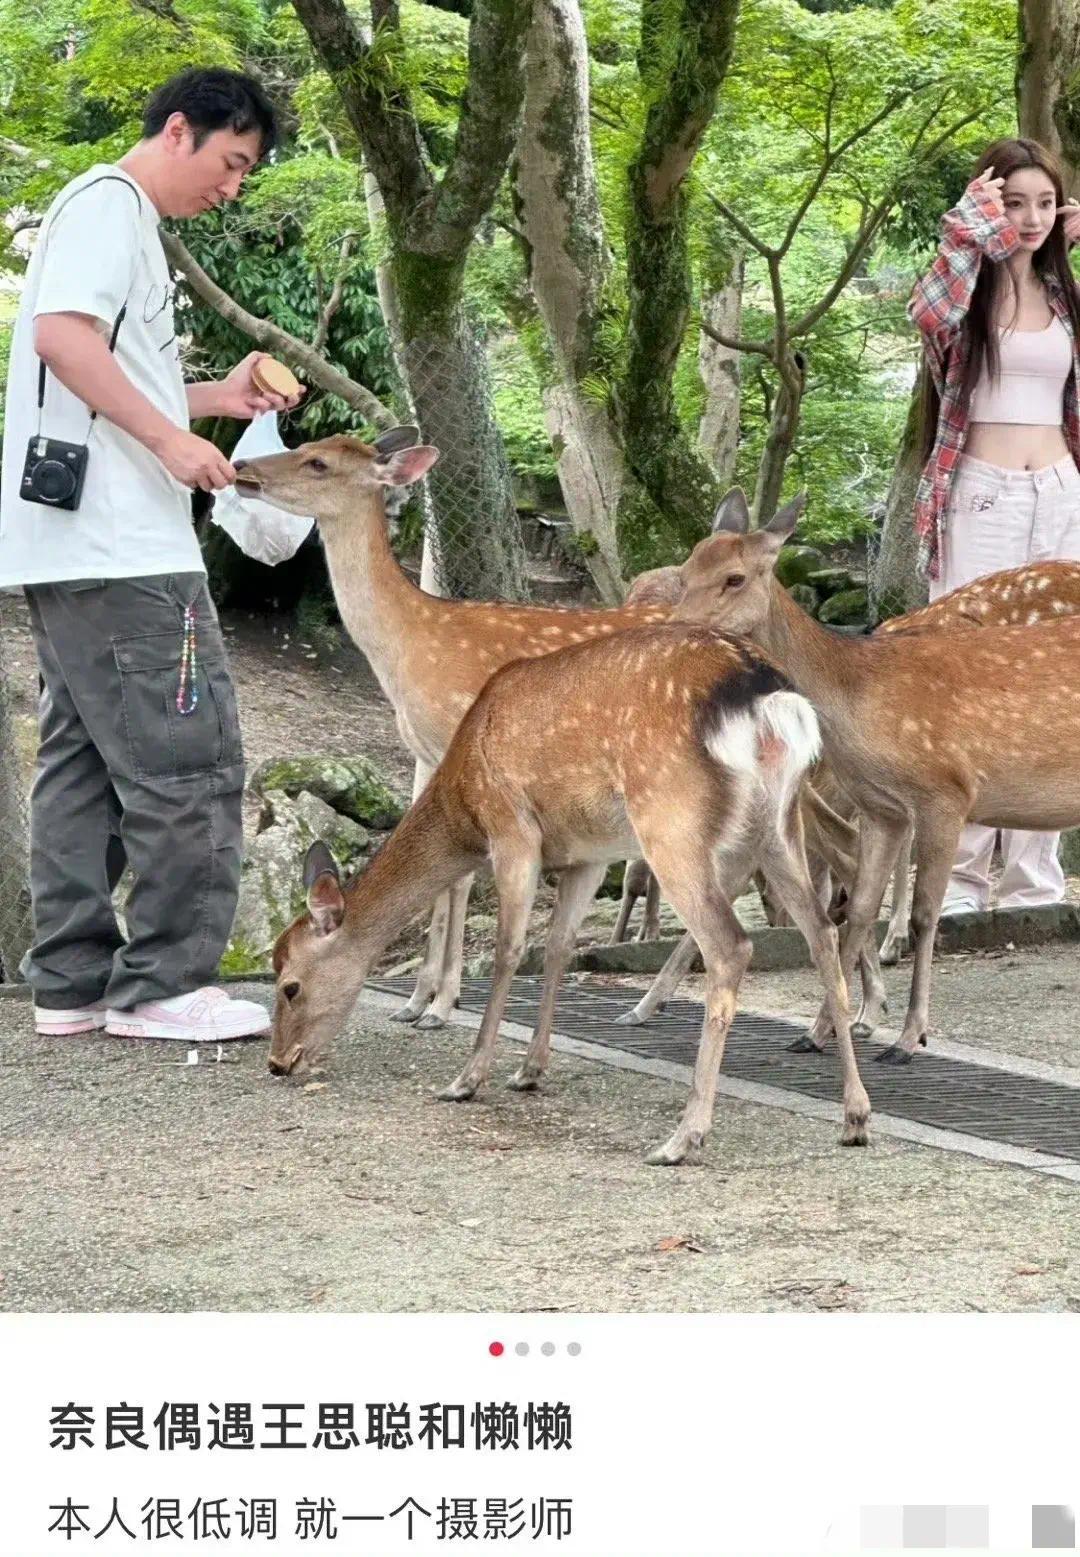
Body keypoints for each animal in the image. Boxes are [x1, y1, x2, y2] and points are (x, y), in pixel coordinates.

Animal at [234, 432, 678, 1027]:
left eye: (318, 463)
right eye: (306, 442)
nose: (241, 466)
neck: (405, 647)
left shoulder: (460, 738)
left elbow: (462, 874)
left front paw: (442, 1003)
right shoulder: (425, 749)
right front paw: (418, 999)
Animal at [266, 619, 877, 1170]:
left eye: (290, 985)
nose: (276, 1062)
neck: (464, 803)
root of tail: (770, 699)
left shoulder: (512, 829)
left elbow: (510, 950)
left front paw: (467, 1079)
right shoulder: (588, 854)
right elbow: (559, 947)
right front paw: (530, 1070)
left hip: (671, 818)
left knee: (731, 945)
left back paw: (683, 1138)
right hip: (778, 823)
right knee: (822, 930)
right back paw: (854, 1116)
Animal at [659, 488, 1080, 1058]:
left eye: (735, 578)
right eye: (685, 572)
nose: (676, 629)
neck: (859, 698)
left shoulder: (946, 790)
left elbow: (925, 914)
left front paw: (908, 1035)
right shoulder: (883, 809)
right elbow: (857, 910)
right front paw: (820, 1031)